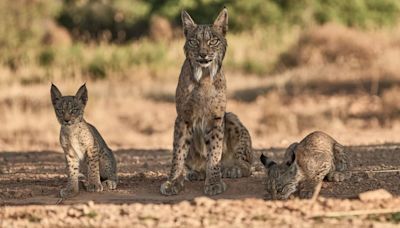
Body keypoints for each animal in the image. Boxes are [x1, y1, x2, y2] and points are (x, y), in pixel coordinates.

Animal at [160, 7, 252, 196]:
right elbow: (178, 151)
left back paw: (234, 168)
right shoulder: (183, 116)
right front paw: (173, 181)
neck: (203, 75)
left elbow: (215, 151)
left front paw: (214, 181)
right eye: (194, 42)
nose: (203, 54)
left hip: (230, 116)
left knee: (249, 163)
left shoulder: (216, 116)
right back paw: (195, 172)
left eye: (213, 41)